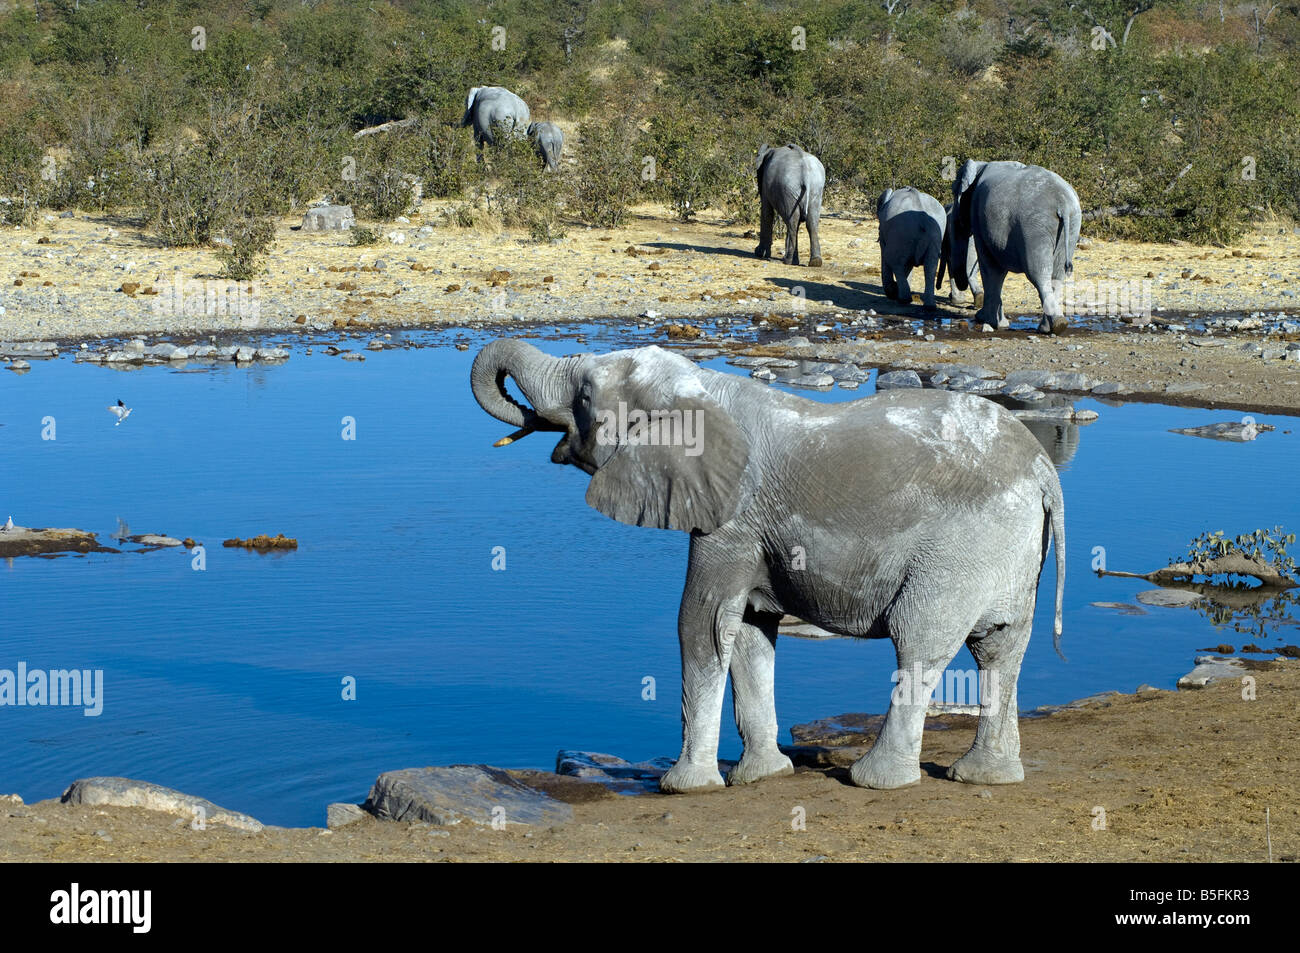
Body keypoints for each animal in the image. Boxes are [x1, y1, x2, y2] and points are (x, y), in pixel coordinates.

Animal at [473, 338, 1060, 790]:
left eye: (585, 395)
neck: (702, 386)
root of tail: (1042, 470)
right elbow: (750, 630)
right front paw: (762, 776)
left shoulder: (732, 518)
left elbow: (701, 622)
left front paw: (685, 787)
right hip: (1010, 551)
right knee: (1000, 649)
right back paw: (986, 776)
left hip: (959, 550)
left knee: (919, 639)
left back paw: (875, 780)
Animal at [951, 157, 1081, 332]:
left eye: (953, 191)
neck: (980, 164)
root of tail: (1063, 203)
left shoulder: (978, 216)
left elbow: (990, 267)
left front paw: (987, 320)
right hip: (1071, 225)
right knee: (1057, 274)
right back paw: (1052, 327)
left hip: (1035, 228)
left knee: (1039, 273)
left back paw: (1057, 325)